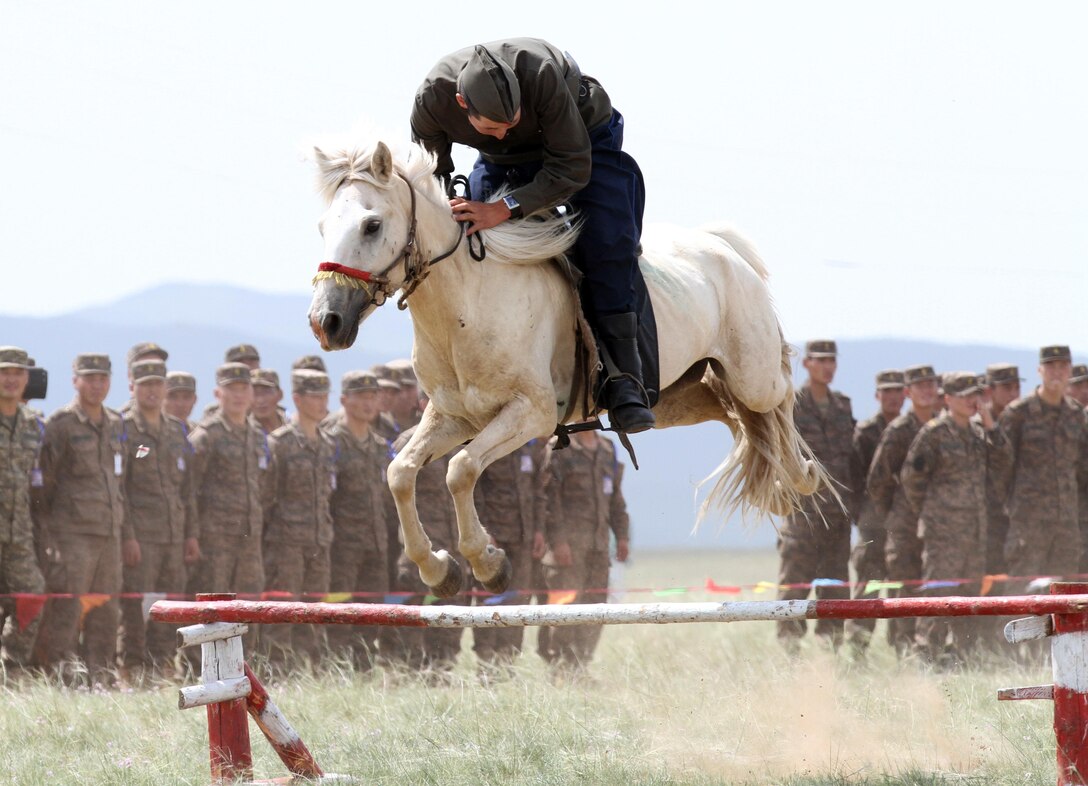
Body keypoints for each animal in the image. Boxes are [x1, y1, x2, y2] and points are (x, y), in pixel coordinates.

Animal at [308, 139, 822, 592]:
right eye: (322, 227)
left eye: (372, 225)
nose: (325, 322)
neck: (469, 302)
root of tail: (725, 248)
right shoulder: (454, 417)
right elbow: (400, 474)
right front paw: (439, 569)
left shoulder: (530, 414)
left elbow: (461, 469)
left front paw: (488, 563)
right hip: (683, 398)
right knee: (737, 416)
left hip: (751, 374)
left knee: (776, 397)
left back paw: (803, 472)